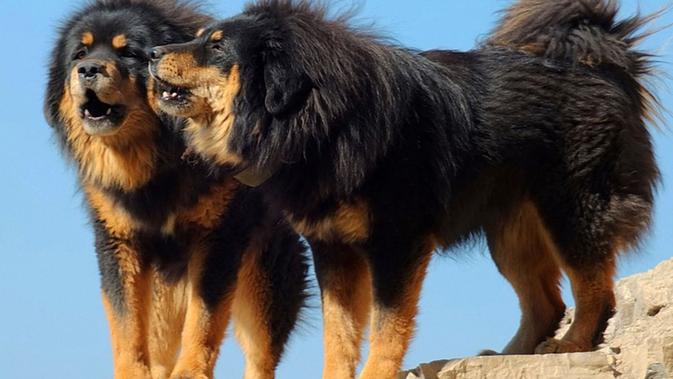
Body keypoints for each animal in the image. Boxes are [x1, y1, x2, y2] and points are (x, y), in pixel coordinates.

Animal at [46, 1, 308, 378]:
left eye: (129, 54)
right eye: (79, 54)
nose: (88, 69)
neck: (155, 161)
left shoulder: (218, 236)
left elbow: (204, 315)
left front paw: (191, 370)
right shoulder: (119, 241)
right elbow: (125, 321)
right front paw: (132, 371)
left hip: (265, 281)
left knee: (260, 356)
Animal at [150, 0, 660, 379]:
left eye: (217, 47)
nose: (152, 53)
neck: (322, 122)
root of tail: (599, 63)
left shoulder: (398, 239)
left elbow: (388, 324)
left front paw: (378, 371)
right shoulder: (331, 245)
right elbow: (339, 332)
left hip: (574, 205)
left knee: (593, 287)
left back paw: (570, 345)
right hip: (509, 231)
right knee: (546, 304)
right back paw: (505, 356)